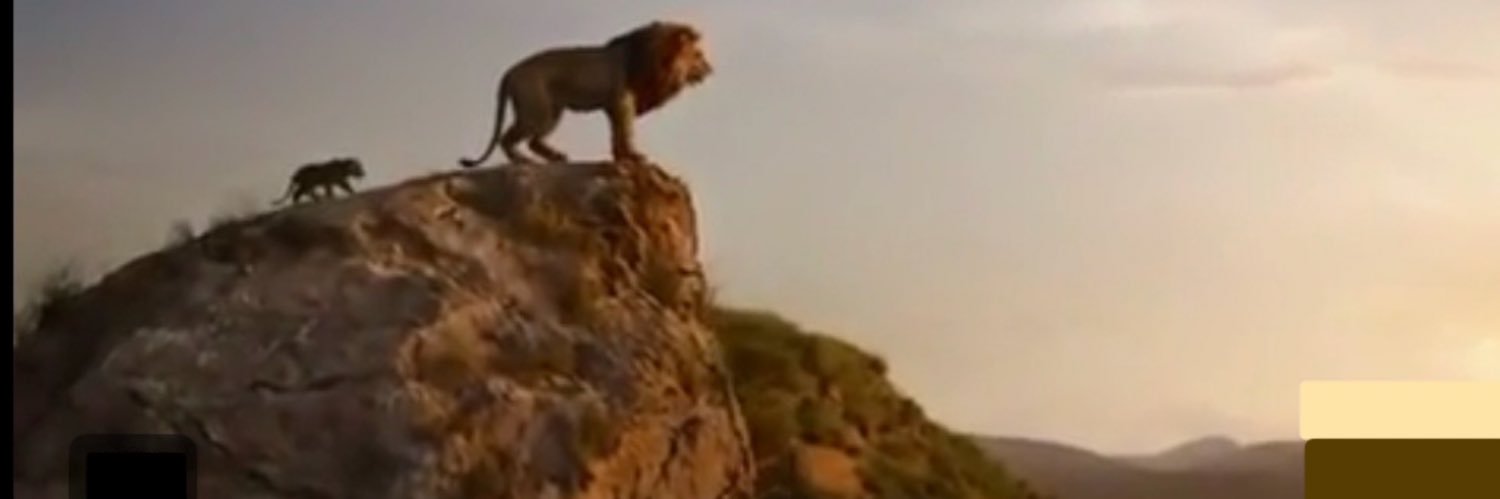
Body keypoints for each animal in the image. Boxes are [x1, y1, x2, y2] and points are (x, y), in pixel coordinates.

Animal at [458, 20, 714, 168]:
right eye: (699, 55)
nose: (711, 69)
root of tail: (509, 72)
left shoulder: (615, 104)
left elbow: (617, 133)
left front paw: (621, 157)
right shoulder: (623, 101)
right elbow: (626, 131)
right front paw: (634, 157)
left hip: (552, 110)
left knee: (534, 141)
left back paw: (556, 157)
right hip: (536, 109)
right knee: (508, 139)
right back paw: (524, 162)